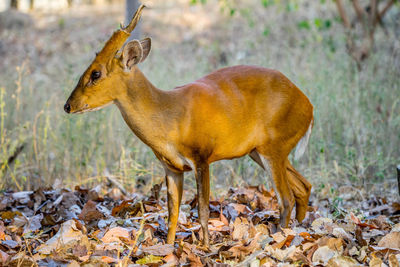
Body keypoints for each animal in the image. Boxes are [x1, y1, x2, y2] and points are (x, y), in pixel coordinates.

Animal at [64, 4, 314, 247]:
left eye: (95, 73)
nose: (68, 105)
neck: (170, 118)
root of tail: (309, 108)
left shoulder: (202, 156)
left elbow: (202, 210)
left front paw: (206, 247)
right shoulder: (171, 167)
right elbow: (172, 213)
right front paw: (169, 247)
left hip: (274, 145)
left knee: (286, 198)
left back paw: (279, 237)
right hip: (261, 150)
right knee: (304, 186)